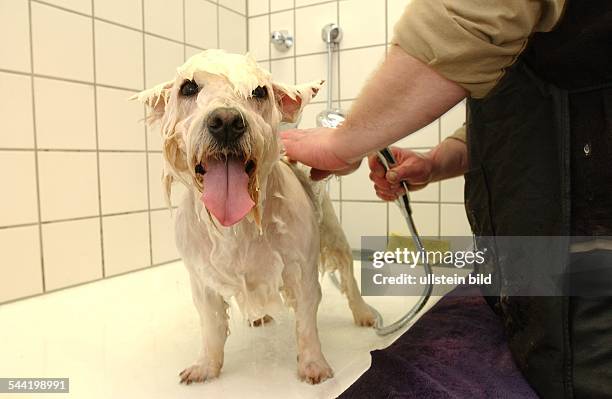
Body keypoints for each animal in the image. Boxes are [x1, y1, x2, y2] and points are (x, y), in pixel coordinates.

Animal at [134, 50, 372, 384]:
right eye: (188, 88)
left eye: (259, 91)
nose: (226, 121)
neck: (237, 225)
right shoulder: (202, 281)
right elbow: (211, 326)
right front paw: (206, 365)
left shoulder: (303, 273)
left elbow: (306, 325)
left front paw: (313, 364)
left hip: (333, 234)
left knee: (349, 278)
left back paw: (364, 312)